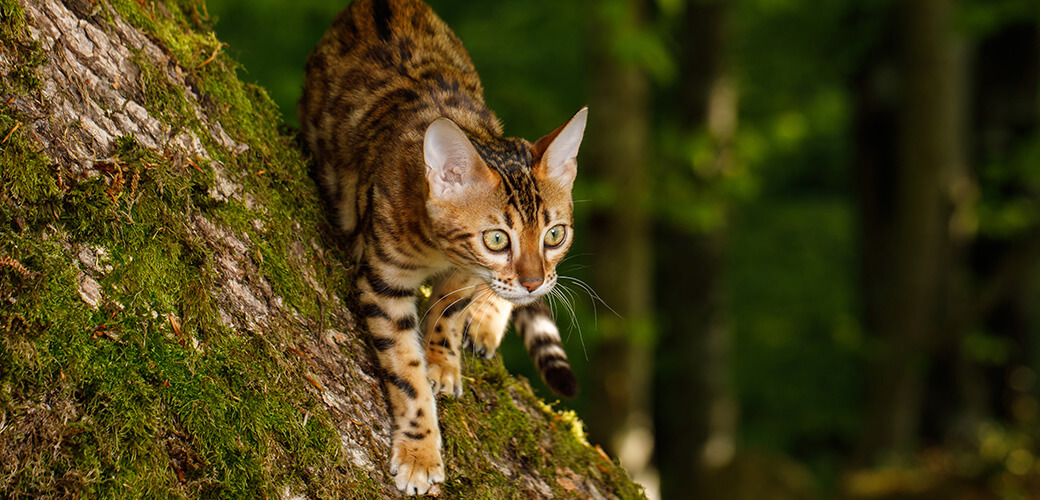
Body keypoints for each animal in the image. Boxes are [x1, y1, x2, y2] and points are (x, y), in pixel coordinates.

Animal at [299, 0, 586, 490]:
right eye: (497, 239)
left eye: (554, 235)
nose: (533, 281)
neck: (440, 250)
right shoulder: (383, 281)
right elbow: (405, 372)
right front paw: (420, 449)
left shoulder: (472, 273)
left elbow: (451, 310)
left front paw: (443, 359)